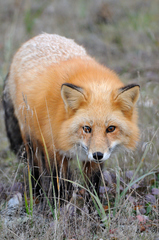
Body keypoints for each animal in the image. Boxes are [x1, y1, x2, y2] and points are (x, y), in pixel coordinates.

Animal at [2, 32, 139, 199]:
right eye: (86, 128)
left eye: (111, 129)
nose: (98, 155)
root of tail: (40, 36)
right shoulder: (54, 151)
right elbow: (59, 186)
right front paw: (59, 205)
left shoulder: (94, 162)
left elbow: (92, 188)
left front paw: (92, 206)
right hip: (30, 138)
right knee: (34, 168)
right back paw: (37, 195)